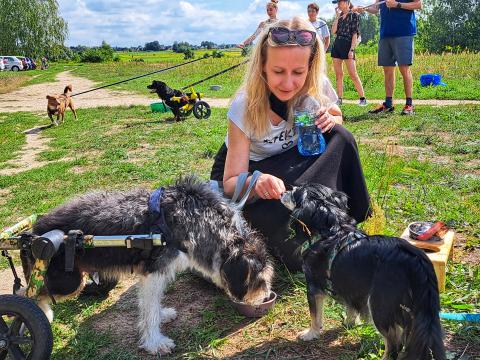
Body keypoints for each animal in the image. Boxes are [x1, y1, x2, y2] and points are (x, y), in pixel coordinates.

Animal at [21, 176, 274, 356]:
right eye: (259, 279)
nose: (265, 297)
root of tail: (34, 233)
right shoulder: (153, 272)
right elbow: (149, 310)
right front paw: (155, 343)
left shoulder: (155, 273)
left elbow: (152, 304)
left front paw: (162, 315)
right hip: (67, 281)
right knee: (30, 293)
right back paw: (36, 318)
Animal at [282, 184, 446, 358]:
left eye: (294, 193)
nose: (283, 191)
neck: (332, 230)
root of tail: (416, 259)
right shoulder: (350, 286)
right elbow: (351, 308)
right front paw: (349, 323)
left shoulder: (314, 287)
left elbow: (315, 315)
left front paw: (310, 333)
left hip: (380, 306)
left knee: (394, 345)